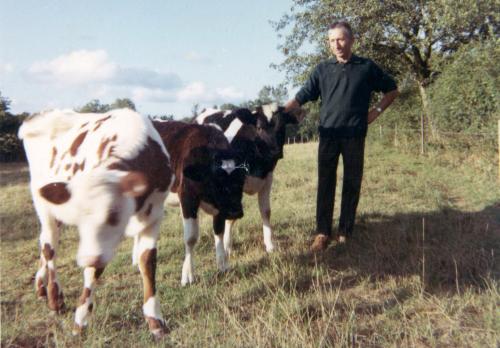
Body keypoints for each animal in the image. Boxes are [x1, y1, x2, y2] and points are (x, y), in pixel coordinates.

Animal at [19, 108, 174, 338]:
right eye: (80, 220)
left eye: (113, 214)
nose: (88, 258)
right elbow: (95, 270)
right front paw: (81, 319)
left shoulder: (154, 215)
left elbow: (147, 261)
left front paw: (155, 319)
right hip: (43, 206)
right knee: (49, 248)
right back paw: (55, 299)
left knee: (43, 244)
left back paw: (40, 287)